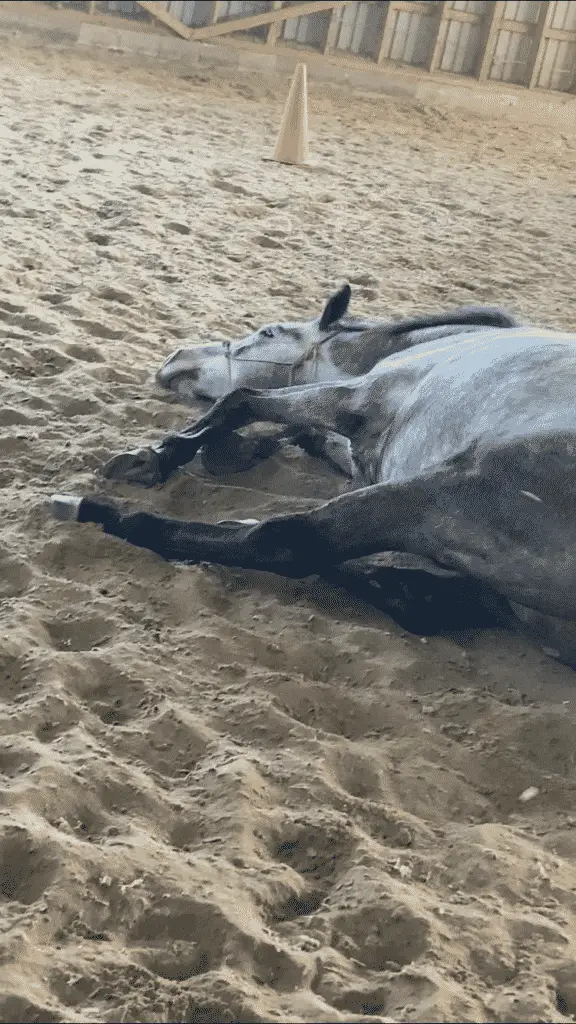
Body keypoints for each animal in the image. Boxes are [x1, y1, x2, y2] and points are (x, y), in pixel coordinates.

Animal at [51, 284, 573, 667]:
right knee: (403, 593)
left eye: (266, 332)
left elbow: (240, 401)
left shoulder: (356, 397)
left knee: (288, 541)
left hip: (443, 496)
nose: (176, 357)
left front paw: (155, 457)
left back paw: (98, 512)